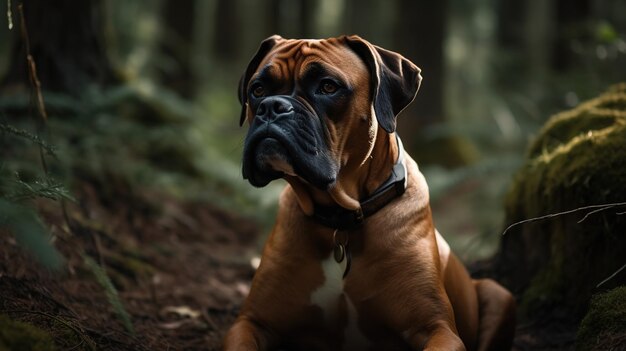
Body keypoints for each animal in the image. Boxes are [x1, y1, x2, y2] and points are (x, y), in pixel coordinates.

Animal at [222, 34, 516, 350]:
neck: (341, 221)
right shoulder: (250, 322)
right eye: (258, 89)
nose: (272, 106)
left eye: (328, 86)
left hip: (499, 294)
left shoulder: (438, 329)